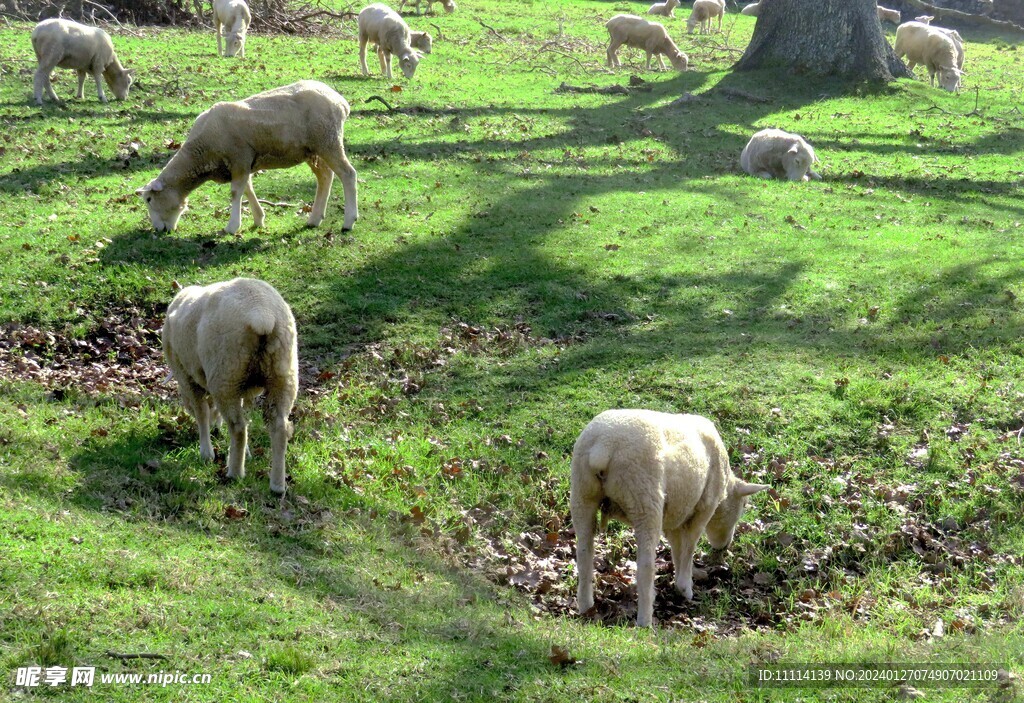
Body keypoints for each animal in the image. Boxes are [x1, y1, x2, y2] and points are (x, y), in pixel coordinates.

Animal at [136, 79, 360, 233]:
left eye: (149, 199)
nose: (157, 230)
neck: (200, 153)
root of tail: (341, 102)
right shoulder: (243, 163)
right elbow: (247, 189)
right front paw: (259, 219)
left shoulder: (239, 157)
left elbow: (236, 192)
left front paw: (232, 227)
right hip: (313, 150)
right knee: (325, 177)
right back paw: (314, 219)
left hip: (329, 140)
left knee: (348, 174)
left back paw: (348, 221)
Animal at [163, 276, 299, 495]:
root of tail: (262, 314)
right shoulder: (243, 389)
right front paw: (247, 453)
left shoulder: (186, 376)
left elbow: (202, 413)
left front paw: (206, 452)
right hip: (282, 373)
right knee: (279, 427)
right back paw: (277, 485)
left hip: (225, 374)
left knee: (238, 427)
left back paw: (234, 473)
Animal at [569, 409, 770, 630]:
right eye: (742, 508)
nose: (725, 546)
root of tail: (602, 447)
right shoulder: (704, 507)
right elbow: (689, 546)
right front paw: (685, 588)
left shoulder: (675, 515)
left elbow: (677, 547)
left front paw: (678, 581)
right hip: (645, 498)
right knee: (645, 565)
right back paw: (645, 621)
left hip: (581, 494)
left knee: (584, 555)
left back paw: (585, 607)